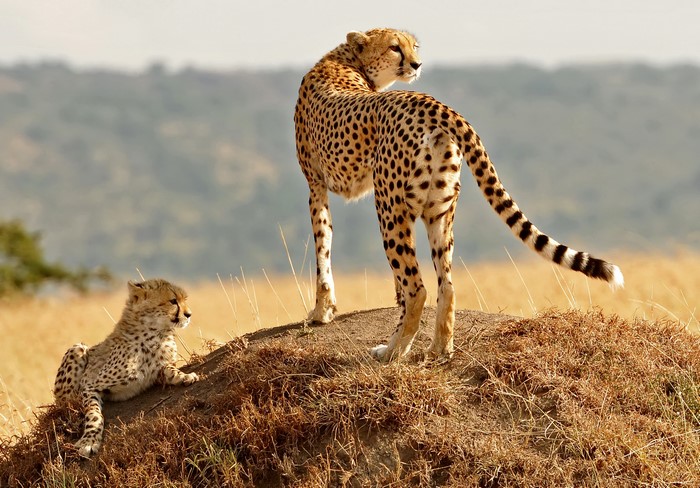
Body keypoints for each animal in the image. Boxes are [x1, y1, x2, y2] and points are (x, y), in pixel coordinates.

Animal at [53, 278, 199, 457]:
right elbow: (94, 414)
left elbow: (168, 369)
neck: (155, 334)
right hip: (78, 349)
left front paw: (184, 376)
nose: (189, 314)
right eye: (173, 301)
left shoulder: (156, 371)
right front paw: (89, 441)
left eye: (185, 299)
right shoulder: (88, 385)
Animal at [293, 28, 624, 362]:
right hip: (439, 210)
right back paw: (440, 348)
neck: (347, 60)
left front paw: (321, 311)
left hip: (390, 207)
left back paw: (393, 350)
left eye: (413, 47)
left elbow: (323, 246)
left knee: (418, 288)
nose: (417, 64)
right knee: (447, 285)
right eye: (395, 48)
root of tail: (429, 102)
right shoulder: (322, 184)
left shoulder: (315, 185)